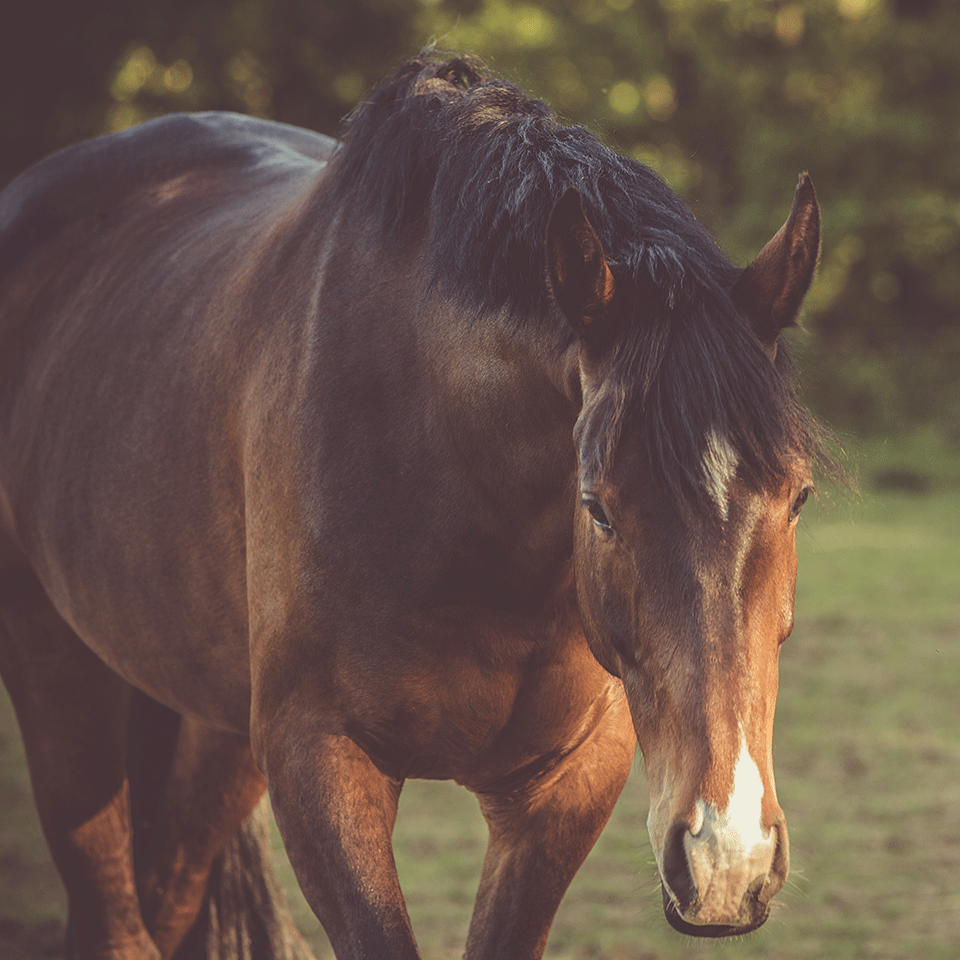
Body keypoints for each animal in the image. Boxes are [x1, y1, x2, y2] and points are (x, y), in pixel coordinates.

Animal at [0, 54, 824, 960]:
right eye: (598, 507)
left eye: (798, 497)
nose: (726, 858)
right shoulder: (320, 765)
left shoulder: (565, 784)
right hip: (57, 670)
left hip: (216, 736)